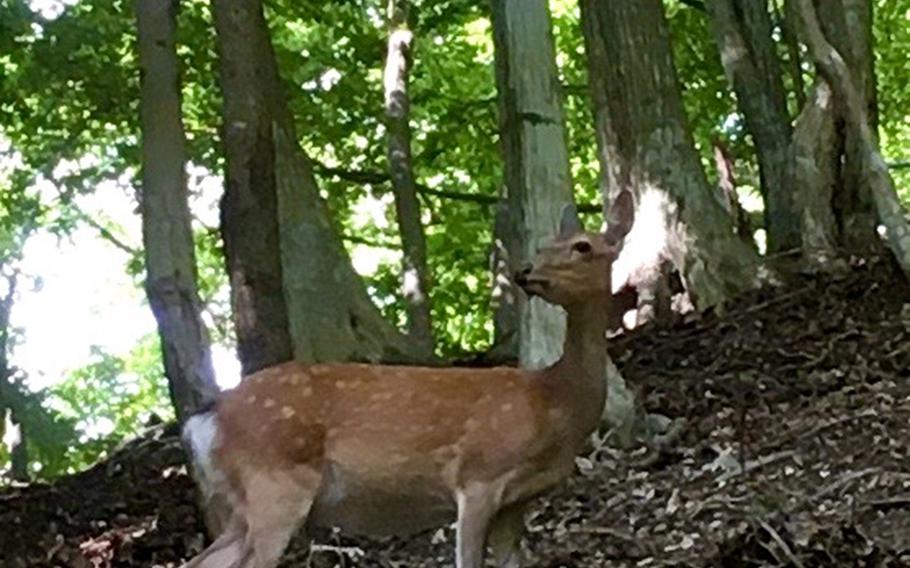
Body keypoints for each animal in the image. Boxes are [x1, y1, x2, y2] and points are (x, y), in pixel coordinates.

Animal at [178, 192, 636, 568]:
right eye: (543, 246)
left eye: (582, 246)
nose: (525, 272)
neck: (554, 401)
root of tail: (205, 419)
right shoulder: (478, 476)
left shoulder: (516, 501)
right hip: (274, 481)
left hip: (242, 501)